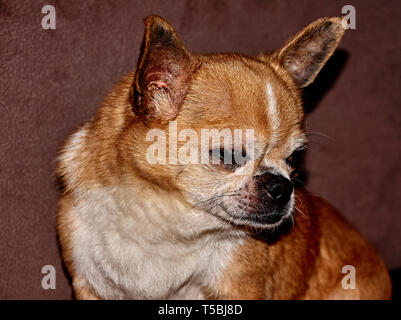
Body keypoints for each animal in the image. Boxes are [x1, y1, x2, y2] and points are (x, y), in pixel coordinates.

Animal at [56, 15, 390, 300]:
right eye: (228, 154)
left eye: (295, 158)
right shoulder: (90, 285)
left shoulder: (238, 289)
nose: (281, 187)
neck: (167, 223)